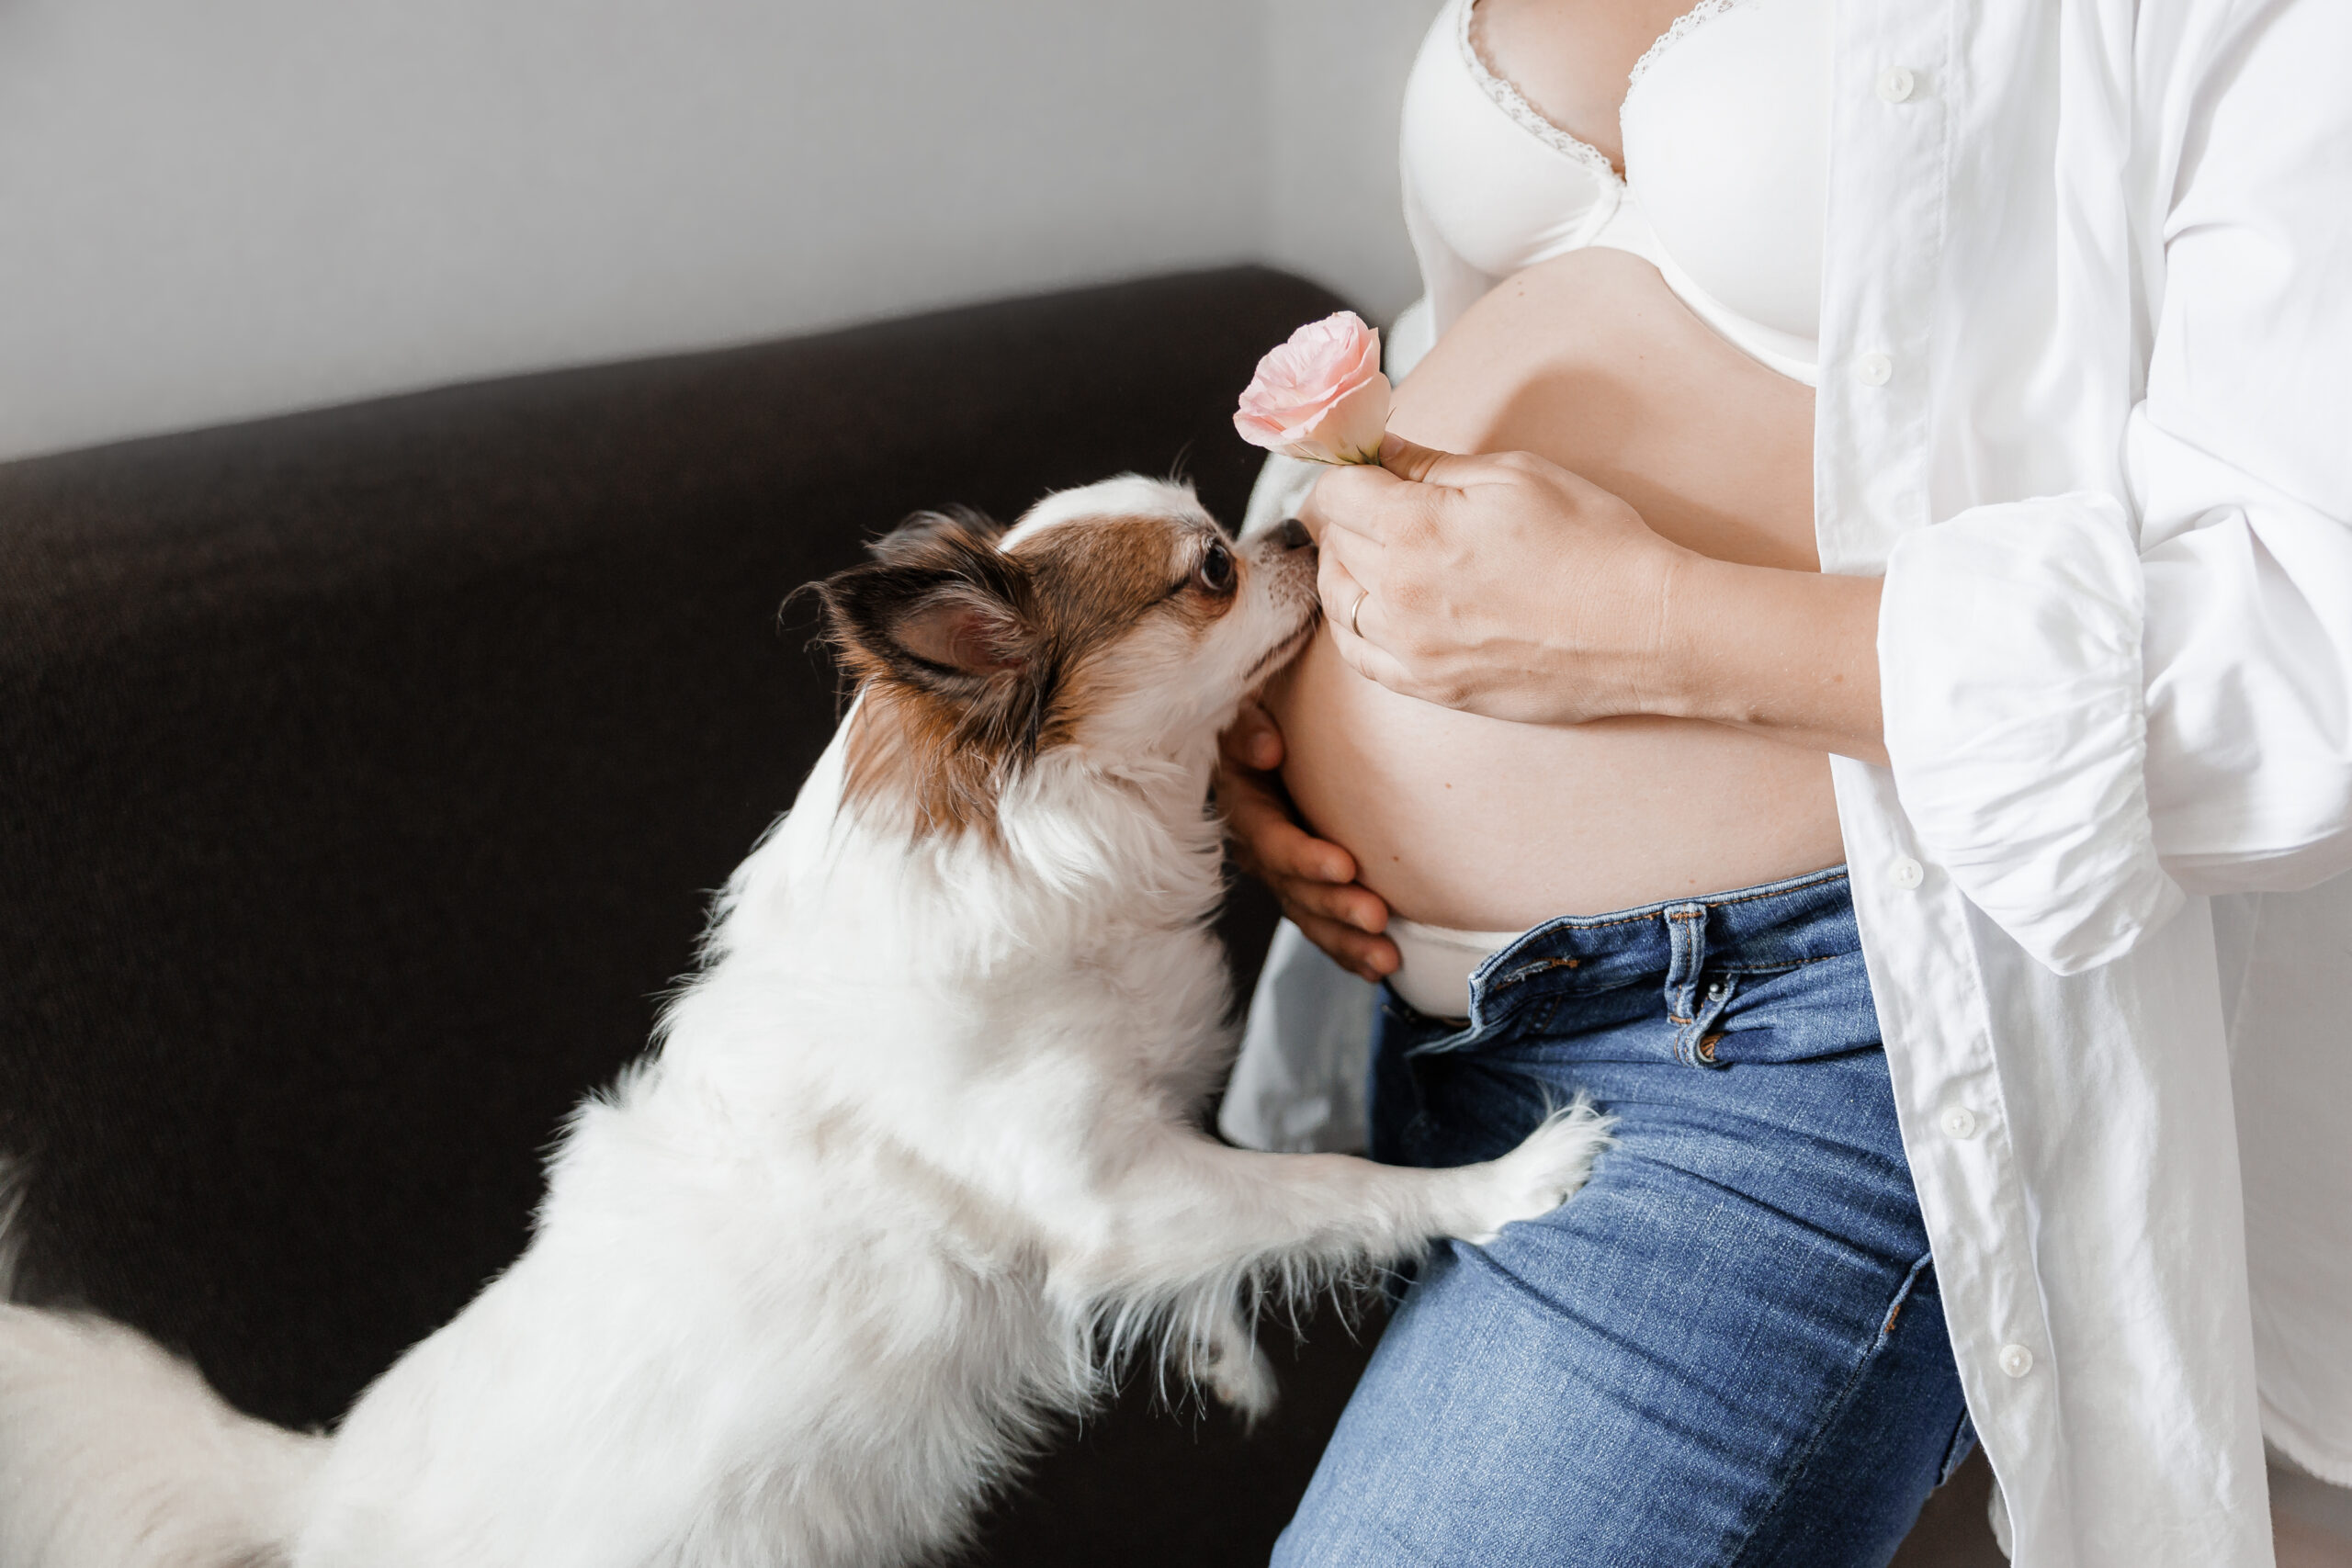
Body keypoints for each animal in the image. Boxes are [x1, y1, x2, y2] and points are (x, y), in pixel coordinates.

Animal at [0, 479, 1609, 1568]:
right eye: (1210, 570)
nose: (1299, 533)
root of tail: (319, 1484)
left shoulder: (1156, 1152)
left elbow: (1234, 1232)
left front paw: (1222, 1354)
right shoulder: (1112, 1189)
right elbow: (1330, 1188)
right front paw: (1508, 1181)